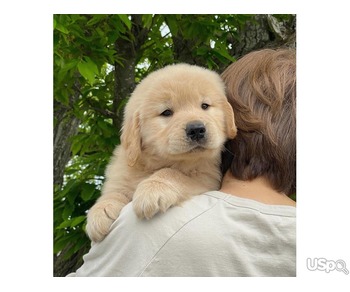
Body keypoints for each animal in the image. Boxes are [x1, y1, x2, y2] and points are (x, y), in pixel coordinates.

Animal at [86, 64, 237, 242]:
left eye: (205, 106)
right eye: (166, 112)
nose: (196, 129)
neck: (158, 161)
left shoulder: (207, 178)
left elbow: (172, 173)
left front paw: (152, 189)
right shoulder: (122, 173)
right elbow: (114, 192)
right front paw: (100, 211)